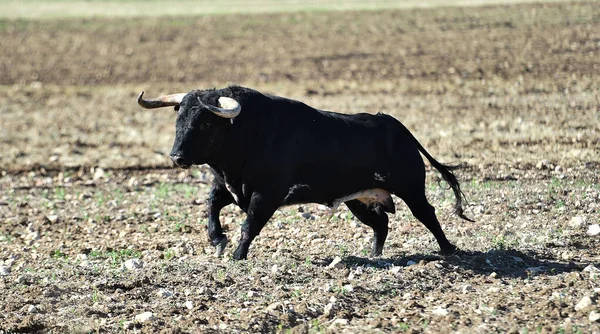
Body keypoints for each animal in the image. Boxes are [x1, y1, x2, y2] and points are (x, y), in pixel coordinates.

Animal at [137, 85, 474, 260]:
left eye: (206, 123)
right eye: (179, 118)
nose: (177, 157)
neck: (247, 132)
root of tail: (395, 125)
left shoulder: (267, 194)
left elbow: (249, 226)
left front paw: (237, 256)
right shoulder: (227, 187)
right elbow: (211, 208)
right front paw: (218, 239)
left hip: (410, 187)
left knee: (427, 214)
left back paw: (448, 249)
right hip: (358, 199)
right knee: (380, 224)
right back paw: (374, 255)